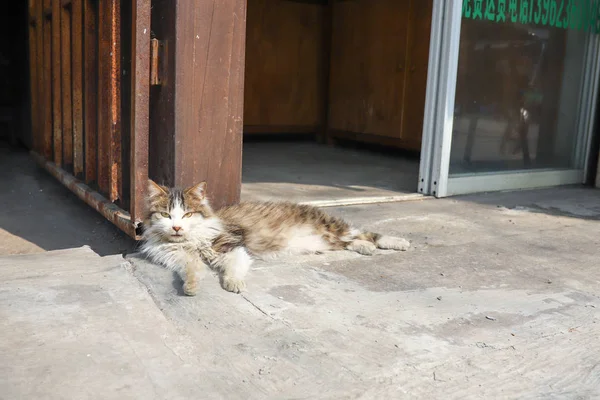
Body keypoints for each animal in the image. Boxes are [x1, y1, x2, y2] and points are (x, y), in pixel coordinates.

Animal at [141, 180, 410, 296]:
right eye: (166, 214)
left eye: (187, 214)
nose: (176, 227)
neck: (189, 240)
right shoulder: (182, 258)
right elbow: (192, 271)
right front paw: (190, 287)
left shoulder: (233, 245)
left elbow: (234, 268)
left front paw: (234, 283)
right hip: (327, 240)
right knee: (351, 241)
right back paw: (366, 248)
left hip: (331, 227)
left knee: (363, 232)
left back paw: (397, 242)